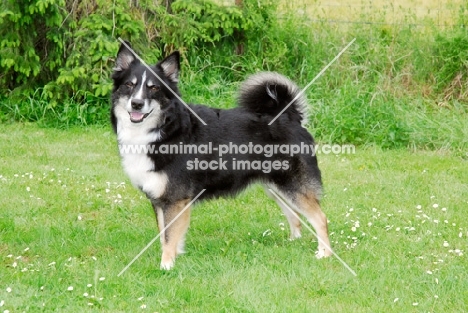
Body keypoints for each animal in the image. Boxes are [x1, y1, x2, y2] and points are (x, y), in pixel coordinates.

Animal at [111, 41, 330, 270]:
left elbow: (169, 237)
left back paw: (324, 254)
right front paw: (174, 257)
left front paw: (167, 265)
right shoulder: (159, 199)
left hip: (292, 184)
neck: (163, 129)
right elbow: (165, 235)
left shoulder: (175, 199)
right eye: (129, 85)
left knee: (320, 218)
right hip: (276, 187)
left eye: (154, 88)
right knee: (295, 216)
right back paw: (292, 245)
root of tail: (291, 117)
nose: (136, 103)